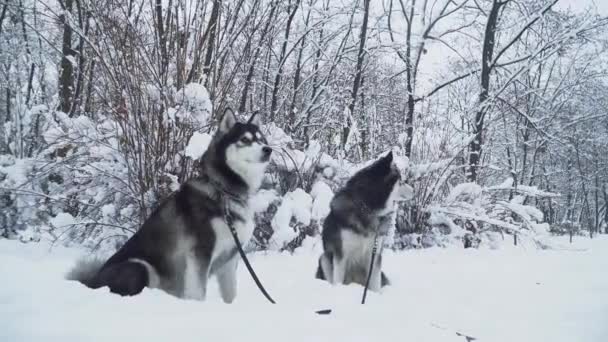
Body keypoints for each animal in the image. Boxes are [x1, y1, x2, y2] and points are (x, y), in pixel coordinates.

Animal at [66, 109, 270, 302]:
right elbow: (198, 292)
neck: (224, 191)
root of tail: (92, 281)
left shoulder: (231, 257)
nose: (268, 149)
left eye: (261, 139)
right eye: (245, 139)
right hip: (140, 266)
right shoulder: (200, 253)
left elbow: (230, 294)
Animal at [316, 152, 402, 292]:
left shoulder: (375, 255)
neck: (367, 208)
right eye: (401, 181)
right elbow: (338, 279)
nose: (413, 190)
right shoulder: (341, 254)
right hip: (324, 259)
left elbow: (375, 284)